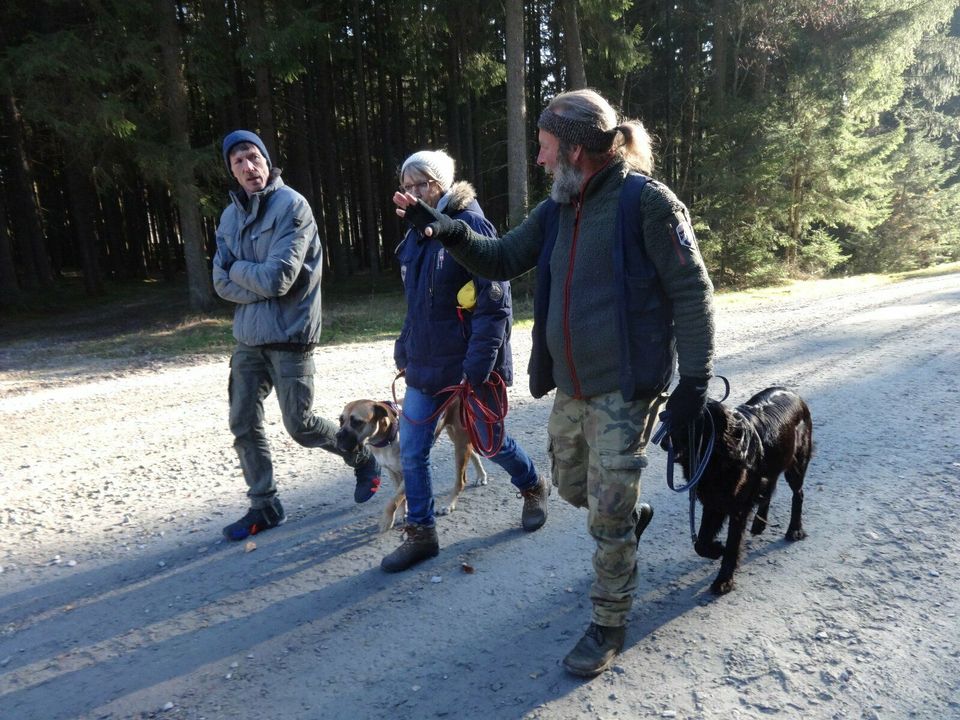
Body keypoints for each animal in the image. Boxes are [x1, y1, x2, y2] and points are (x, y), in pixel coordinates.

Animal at [336, 396, 488, 532]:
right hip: (456, 437)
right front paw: (401, 514)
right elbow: (400, 498)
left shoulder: (409, 471)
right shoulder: (392, 472)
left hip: (460, 440)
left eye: (357, 422)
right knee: (473, 453)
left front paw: (387, 520)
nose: (338, 436)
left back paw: (449, 504)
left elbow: (393, 500)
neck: (388, 437)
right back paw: (481, 475)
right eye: (341, 420)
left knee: (461, 480)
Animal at [676, 388, 808, 596]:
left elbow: (732, 544)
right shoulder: (714, 502)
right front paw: (717, 549)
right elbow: (701, 543)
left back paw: (795, 529)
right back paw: (759, 524)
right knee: (769, 489)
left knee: (798, 494)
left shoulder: (737, 507)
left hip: (796, 463)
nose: (665, 442)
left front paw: (723, 580)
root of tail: (793, 393)